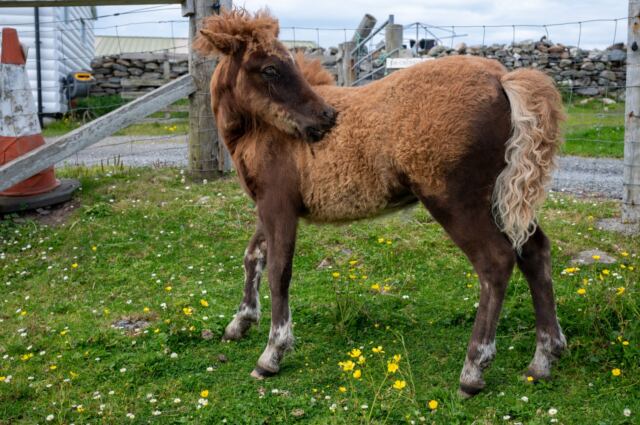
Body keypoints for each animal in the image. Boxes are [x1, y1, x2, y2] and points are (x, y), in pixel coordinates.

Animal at [193, 8, 566, 397]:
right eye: (268, 69)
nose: (326, 117)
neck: (260, 132)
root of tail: (501, 77)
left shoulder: (278, 206)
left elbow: (279, 272)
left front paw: (271, 354)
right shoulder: (266, 207)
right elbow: (253, 256)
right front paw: (240, 322)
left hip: (456, 201)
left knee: (495, 262)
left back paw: (473, 370)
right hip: (501, 199)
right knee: (535, 251)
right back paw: (543, 359)